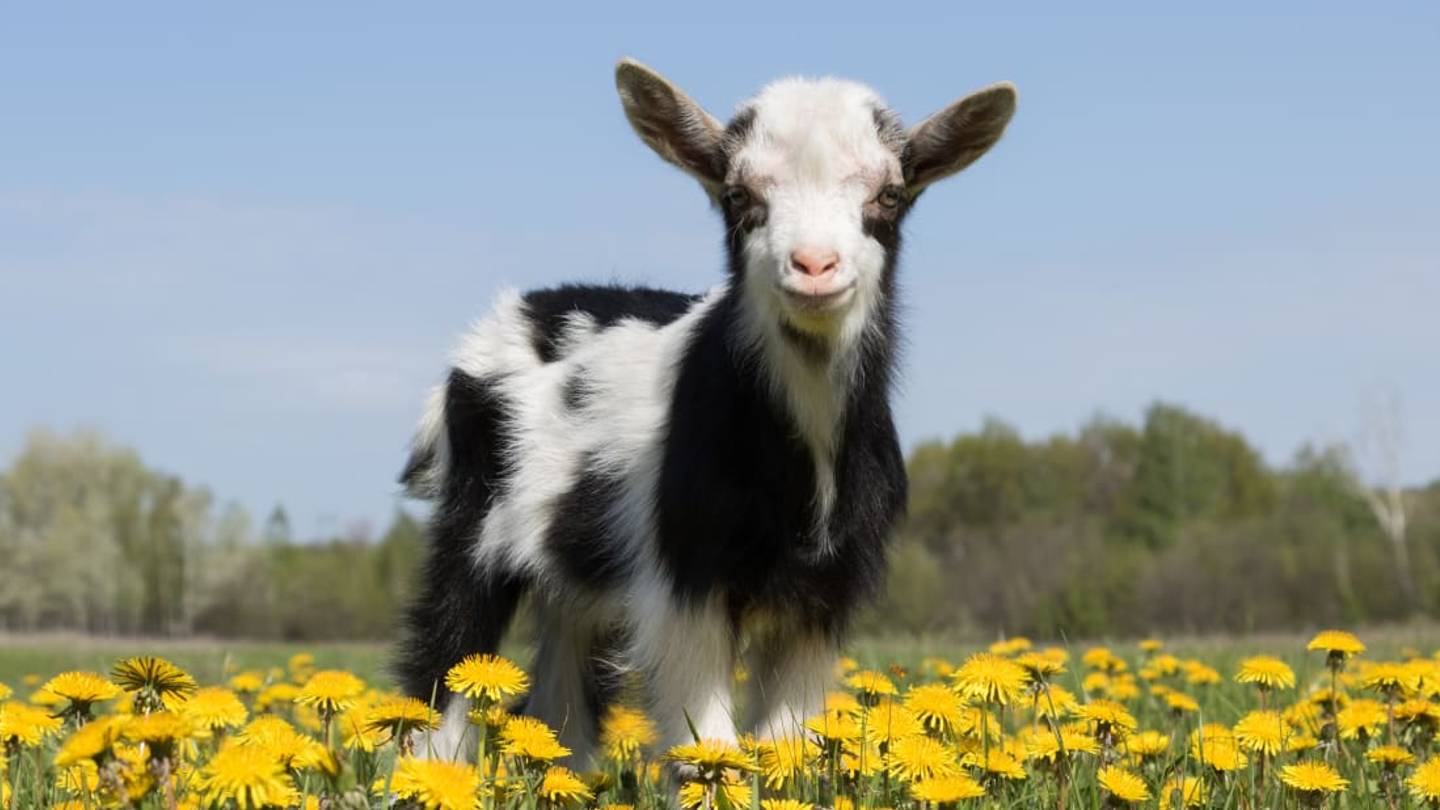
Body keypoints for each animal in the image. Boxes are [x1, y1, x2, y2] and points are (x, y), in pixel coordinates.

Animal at [396, 58, 1016, 764]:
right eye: (739, 196)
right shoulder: (685, 584)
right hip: (472, 521)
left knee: (560, 707)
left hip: (575, 577)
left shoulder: (822, 601)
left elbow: (786, 749)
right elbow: (710, 752)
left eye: (889, 195)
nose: (814, 266)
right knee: (443, 663)